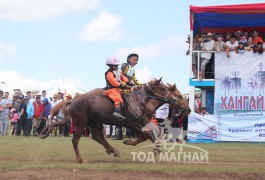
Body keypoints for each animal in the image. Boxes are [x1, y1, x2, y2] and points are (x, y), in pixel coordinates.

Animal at [40, 78, 189, 162]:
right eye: (163, 88)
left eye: (179, 95)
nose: (187, 109)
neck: (142, 101)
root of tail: (73, 100)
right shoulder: (131, 122)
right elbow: (146, 134)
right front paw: (156, 149)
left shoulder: (143, 121)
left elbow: (151, 132)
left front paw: (156, 148)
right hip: (82, 123)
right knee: (76, 140)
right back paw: (81, 159)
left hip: (94, 122)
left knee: (97, 137)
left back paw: (113, 150)